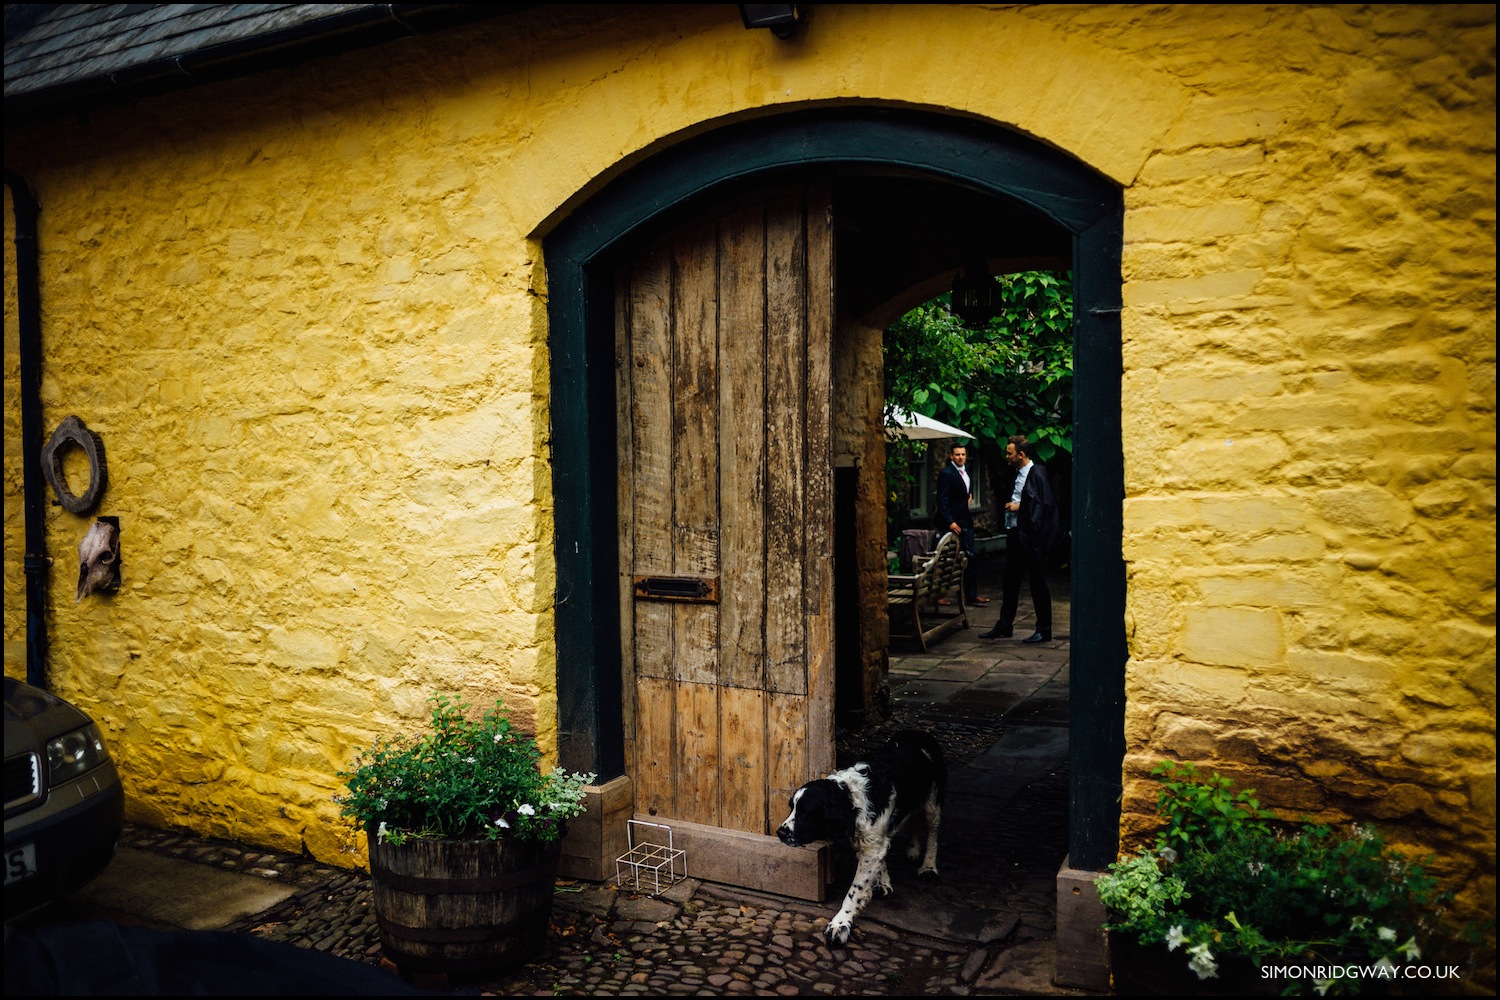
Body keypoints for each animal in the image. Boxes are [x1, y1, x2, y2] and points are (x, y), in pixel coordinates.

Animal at [780, 728, 942, 947]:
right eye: (791, 808)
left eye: (805, 813)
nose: (780, 832)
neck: (849, 797)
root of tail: (920, 732)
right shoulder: (868, 839)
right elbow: (878, 860)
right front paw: (883, 882)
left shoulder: (871, 843)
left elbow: (854, 891)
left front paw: (840, 924)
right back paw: (913, 850)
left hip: (932, 802)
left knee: (932, 832)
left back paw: (928, 867)